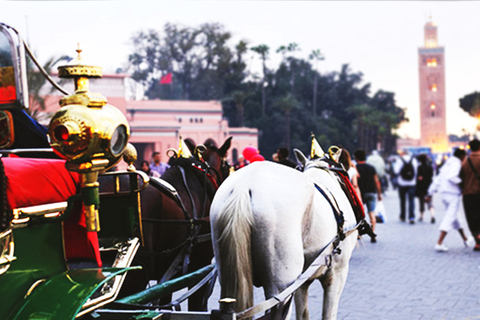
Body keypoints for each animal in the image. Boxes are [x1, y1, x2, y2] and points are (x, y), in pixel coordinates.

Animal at [212, 152, 358, 320]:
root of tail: (242, 187)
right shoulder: (337, 274)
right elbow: (328, 315)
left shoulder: (302, 282)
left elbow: (303, 313)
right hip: (281, 287)